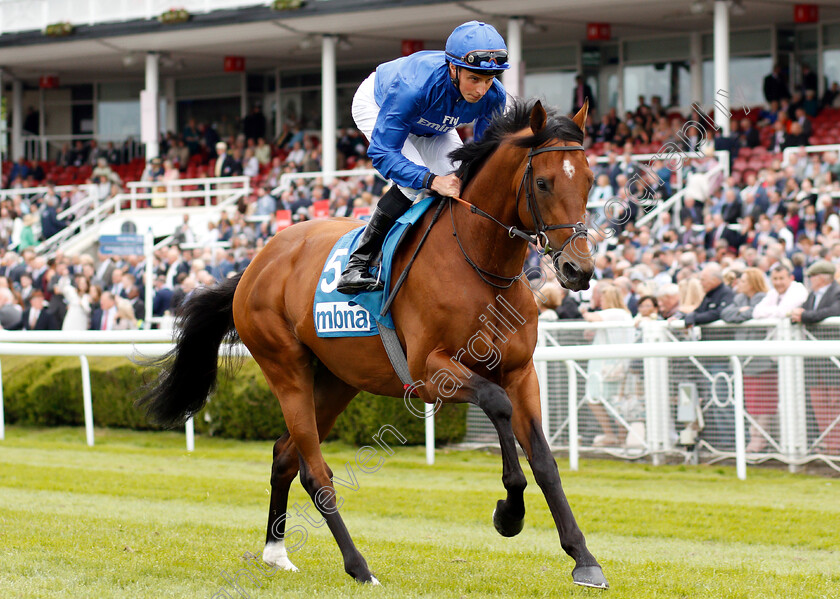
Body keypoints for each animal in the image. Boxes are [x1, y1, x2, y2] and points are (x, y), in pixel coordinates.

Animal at [141, 98, 608, 592]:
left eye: (589, 179)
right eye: (543, 182)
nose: (578, 270)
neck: (477, 262)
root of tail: (256, 263)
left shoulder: (520, 371)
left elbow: (544, 459)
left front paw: (583, 557)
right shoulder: (430, 372)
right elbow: (497, 404)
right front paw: (509, 514)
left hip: (336, 380)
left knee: (285, 453)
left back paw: (276, 553)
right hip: (285, 367)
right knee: (314, 470)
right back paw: (359, 566)